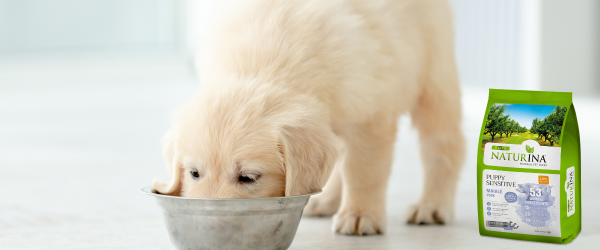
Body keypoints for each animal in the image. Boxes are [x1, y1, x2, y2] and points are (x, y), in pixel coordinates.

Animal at [151, 0, 464, 235]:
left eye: (248, 177)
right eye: (193, 173)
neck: (261, 64)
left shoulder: (368, 113)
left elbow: (362, 171)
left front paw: (360, 214)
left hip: (434, 75)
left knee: (443, 144)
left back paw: (431, 206)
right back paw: (325, 200)